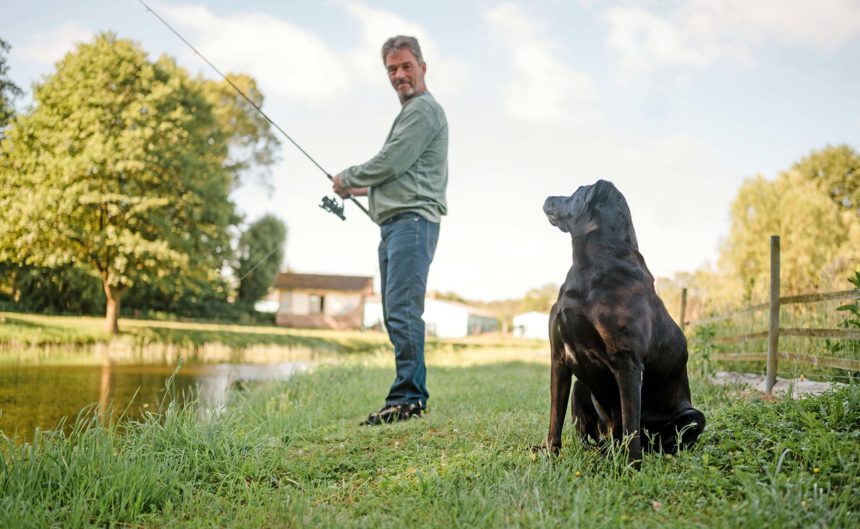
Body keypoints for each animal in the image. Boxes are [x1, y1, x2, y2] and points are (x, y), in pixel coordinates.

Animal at [544, 180, 704, 466]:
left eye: (576, 191)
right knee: (596, 437)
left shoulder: (627, 362)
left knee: (654, 440)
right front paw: (551, 460)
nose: (547, 197)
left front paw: (632, 468)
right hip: (581, 388)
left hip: (694, 417)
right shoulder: (559, 357)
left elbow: (631, 425)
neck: (589, 267)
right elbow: (555, 419)